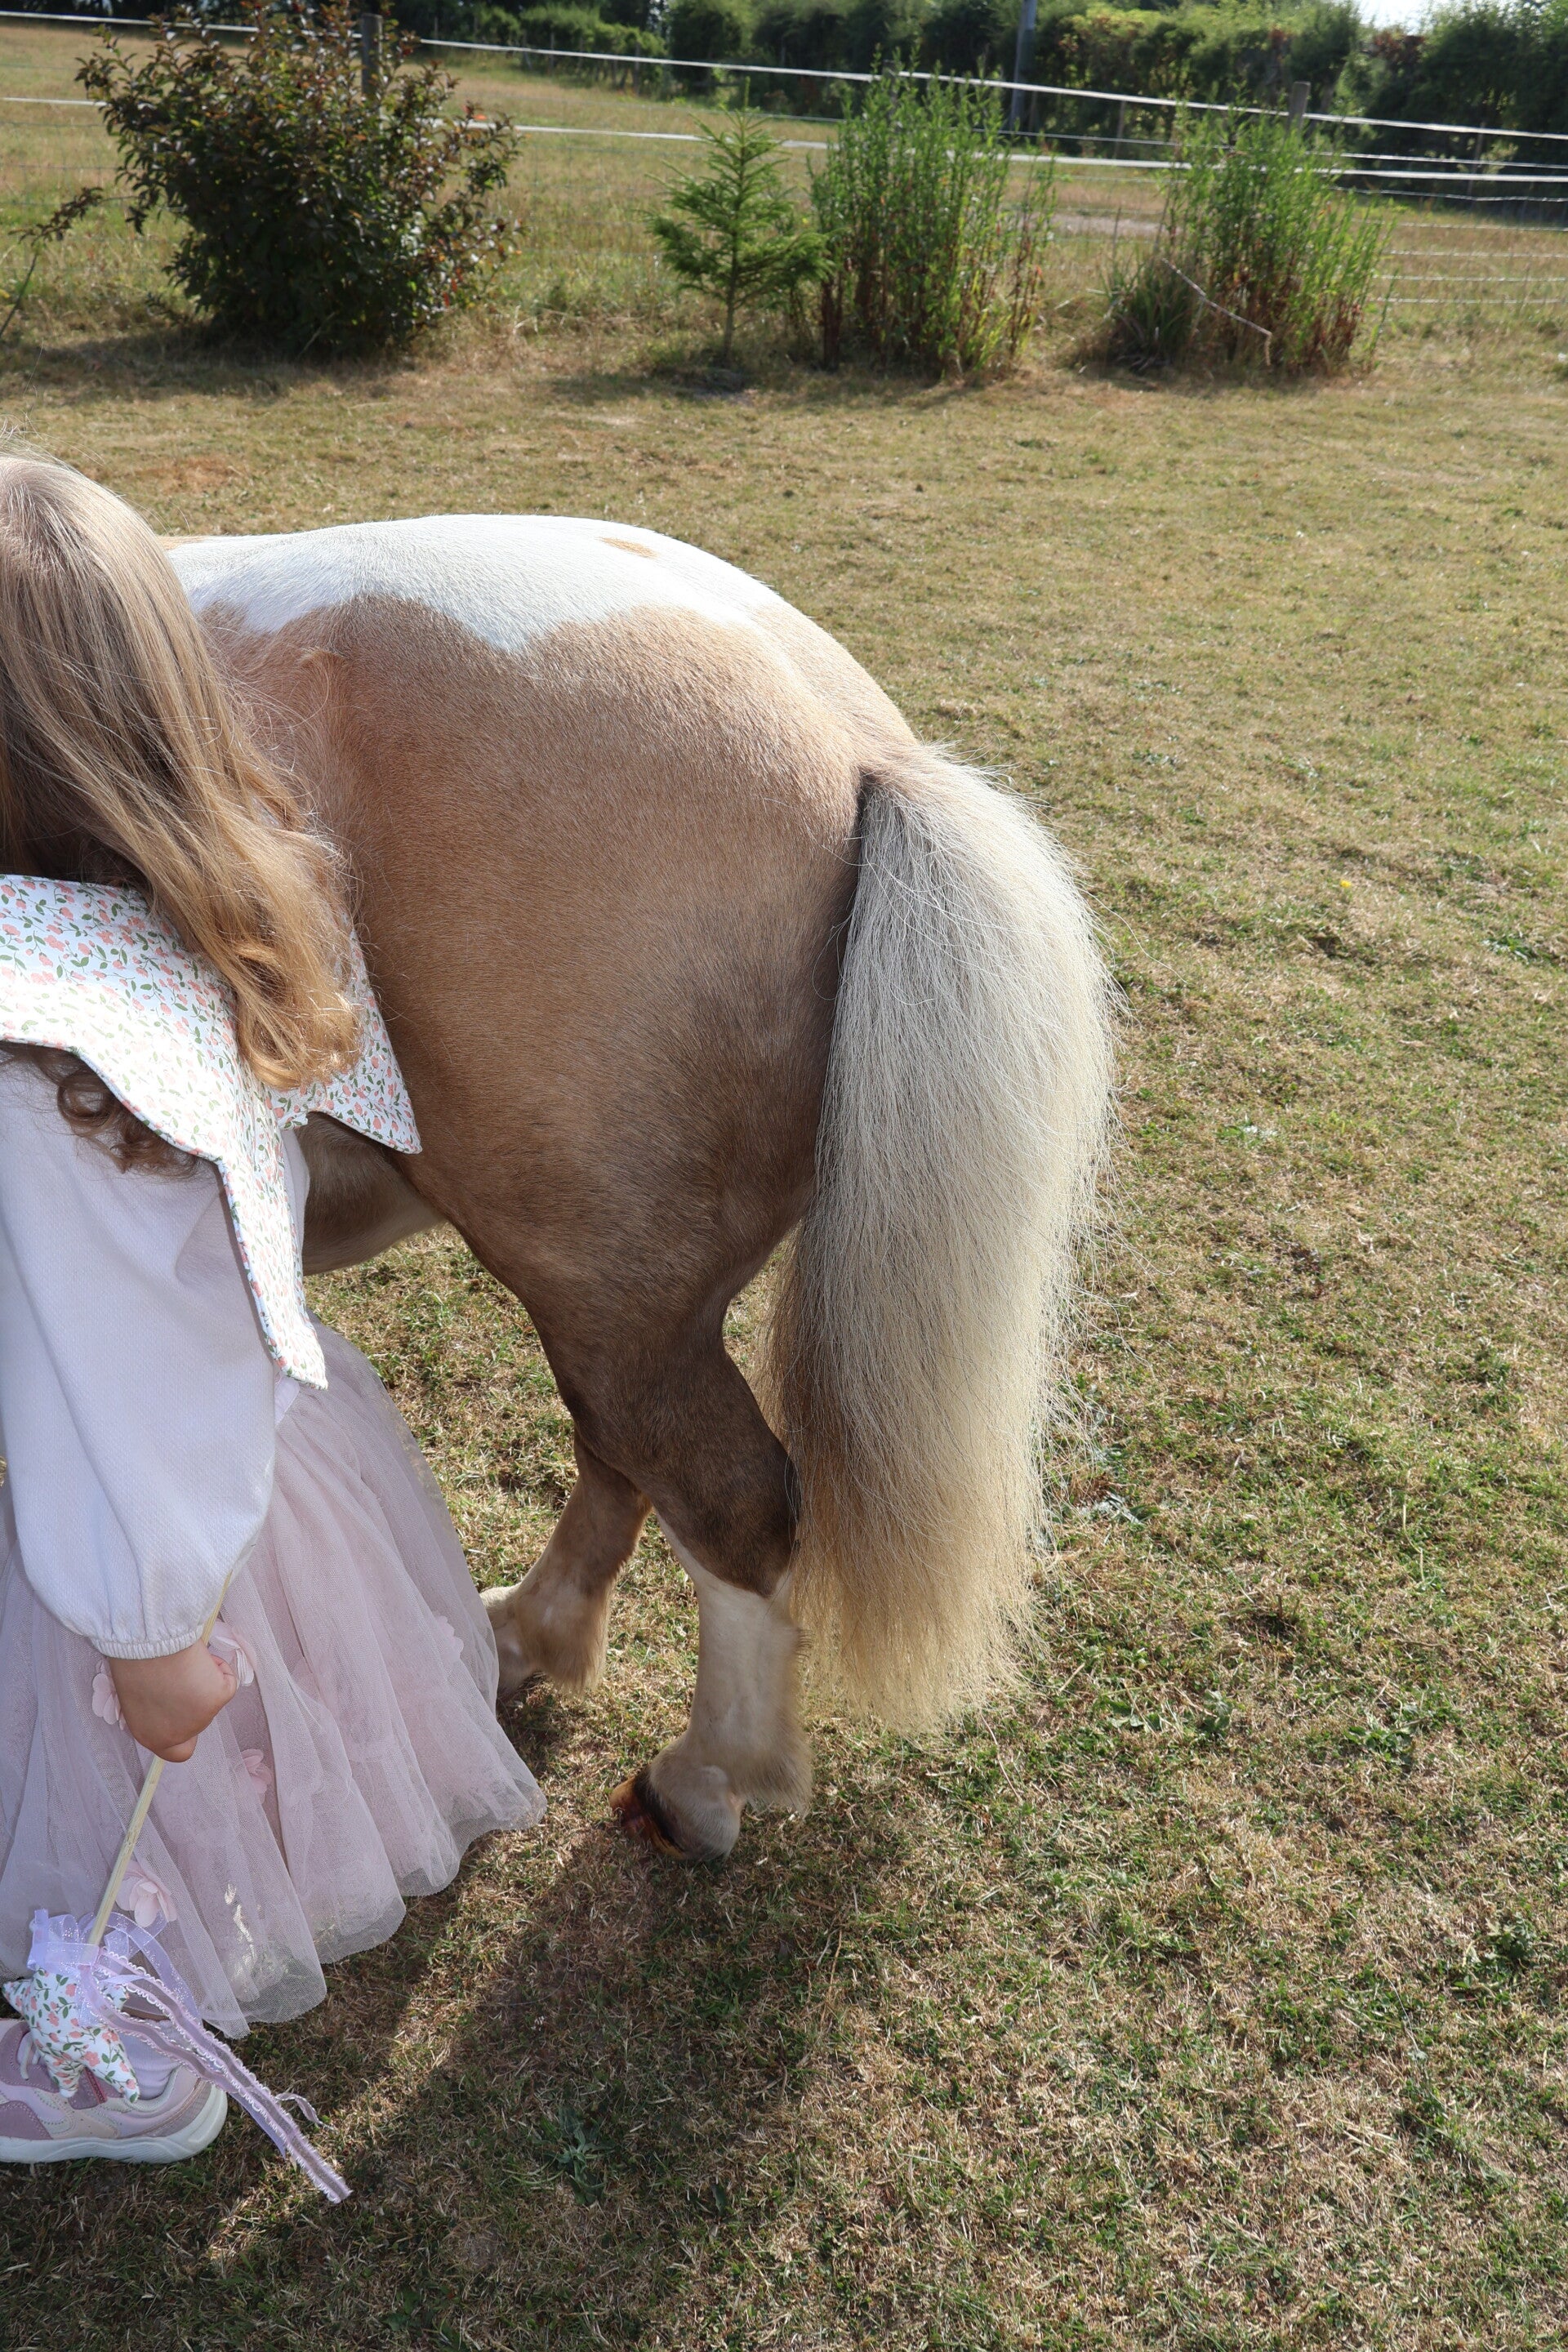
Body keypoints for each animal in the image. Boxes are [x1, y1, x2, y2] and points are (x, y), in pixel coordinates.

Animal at [169, 516, 1114, 1862]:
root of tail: (847, 736)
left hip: (604, 1291)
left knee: (726, 1506)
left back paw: (706, 1777)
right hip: (622, 1294)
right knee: (621, 1456)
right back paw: (530, 1639)